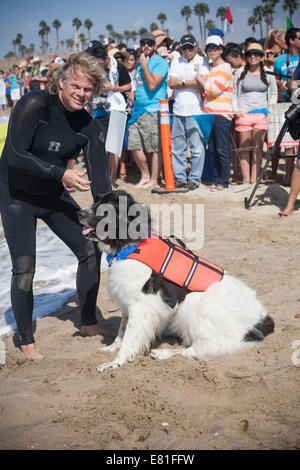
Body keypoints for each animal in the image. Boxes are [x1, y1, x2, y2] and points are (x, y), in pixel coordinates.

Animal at [79, 190, 274, 370]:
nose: (79, 213)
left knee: (202, 348)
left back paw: (164, 353)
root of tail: (262, 318)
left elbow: (129, 337)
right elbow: (122, 329)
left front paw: (116, 362)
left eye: (105, 208)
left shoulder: (141, 305)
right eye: (95, 200)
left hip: (201, 306)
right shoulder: (127, 302)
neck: (129, 245)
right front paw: (112, 348)